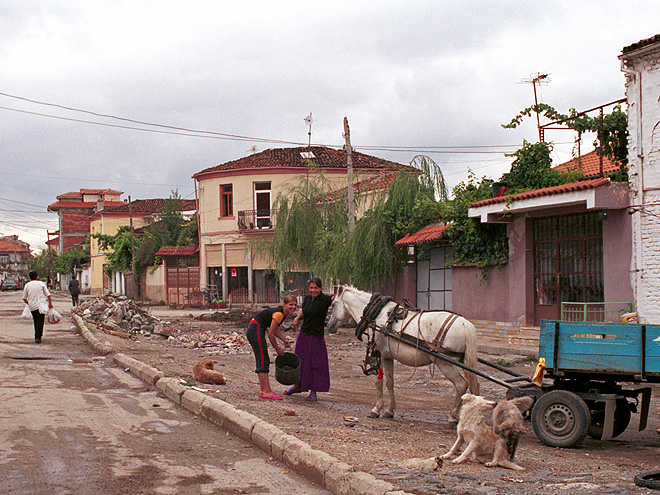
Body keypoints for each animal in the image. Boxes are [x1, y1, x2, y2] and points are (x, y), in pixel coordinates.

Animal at [326, 284, 476, 420]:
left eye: (333, 304)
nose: (329, 326)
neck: (376, 316)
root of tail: (466, 325)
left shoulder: (378, 353)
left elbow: (378, 382)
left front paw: (376, 409)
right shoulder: (387, 356)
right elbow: (389, 382)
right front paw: (389, 411)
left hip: (444, 363)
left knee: (461, 385)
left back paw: (453, 417)